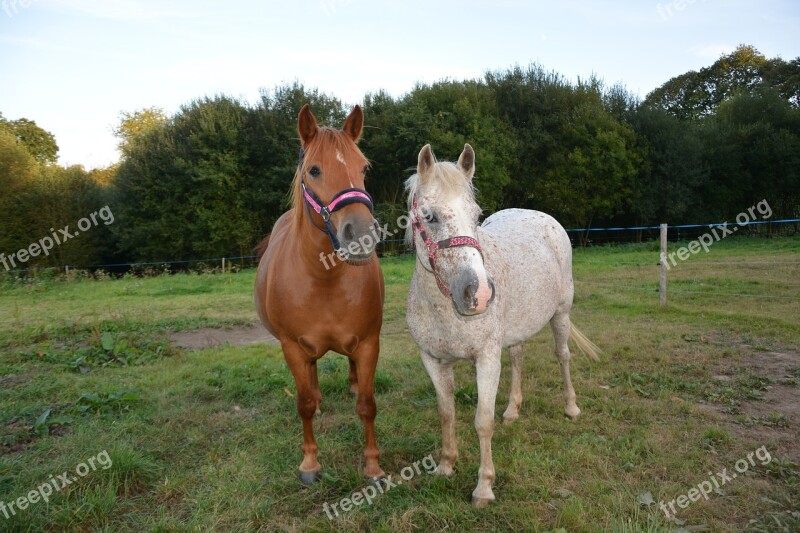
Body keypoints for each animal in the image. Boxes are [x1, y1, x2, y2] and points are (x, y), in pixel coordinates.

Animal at [253, 103, 384, 482]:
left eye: (364, 167)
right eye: (314, 170)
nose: (362, 235)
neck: (323, 280)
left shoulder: (369, 343)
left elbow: (367, 405)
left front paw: (373, 464)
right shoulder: (292, 348)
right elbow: (304, 404)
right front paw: (310, 462)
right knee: (311, 381)